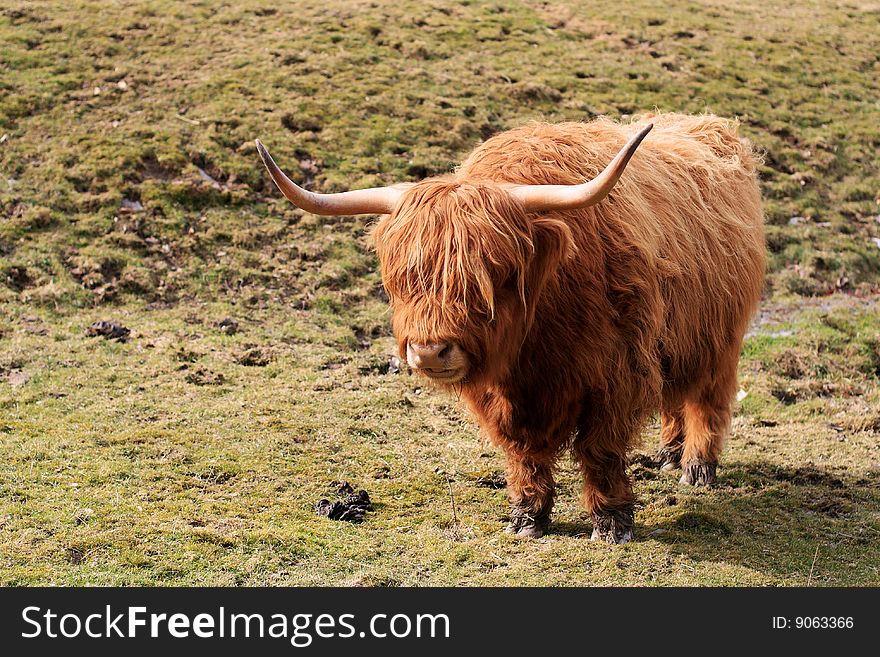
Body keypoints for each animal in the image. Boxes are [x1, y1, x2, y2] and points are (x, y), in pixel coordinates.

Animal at [254, 114, 764, 544]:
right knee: (675, 393)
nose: (429, 352)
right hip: (674, 339)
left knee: (708, 398)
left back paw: (696, 467)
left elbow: (600, 451)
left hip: (720, 338)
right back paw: (670, 453)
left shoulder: (615, 376)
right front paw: (527, 517)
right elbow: (524, 454)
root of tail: (709, 125)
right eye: (403, 277)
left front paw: (612, 522)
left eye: (492, 274)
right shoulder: (504, 399)